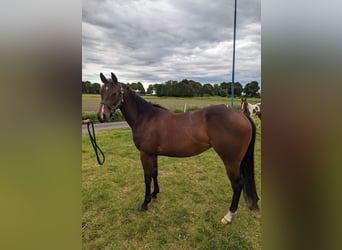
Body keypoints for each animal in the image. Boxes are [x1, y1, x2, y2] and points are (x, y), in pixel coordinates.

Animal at [96, 73, 260, 225]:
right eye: (101, 91)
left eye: (114, 93)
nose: (101, 116)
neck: (146, 118)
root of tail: (242, 116)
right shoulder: (153, 154)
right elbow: (155, 173)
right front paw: (155, 194)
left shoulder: (145, 154)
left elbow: (147, 177)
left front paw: (145, 203)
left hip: (231, 161)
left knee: (238, 184)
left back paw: (229, 216)